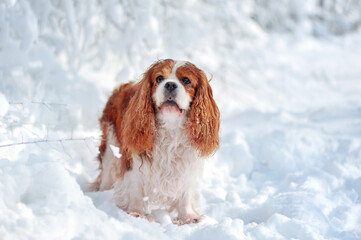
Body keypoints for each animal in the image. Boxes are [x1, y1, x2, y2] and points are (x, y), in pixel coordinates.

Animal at [91, 59, 218, 224]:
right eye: (159, 78)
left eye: (186, 80)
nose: (170, 84)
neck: (170, 125)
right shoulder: (135, 161)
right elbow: (136, 187)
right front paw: (137, 213)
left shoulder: (186, 164)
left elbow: (185, 192)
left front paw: (188, 218)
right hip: (110, 148)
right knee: (107, 174)